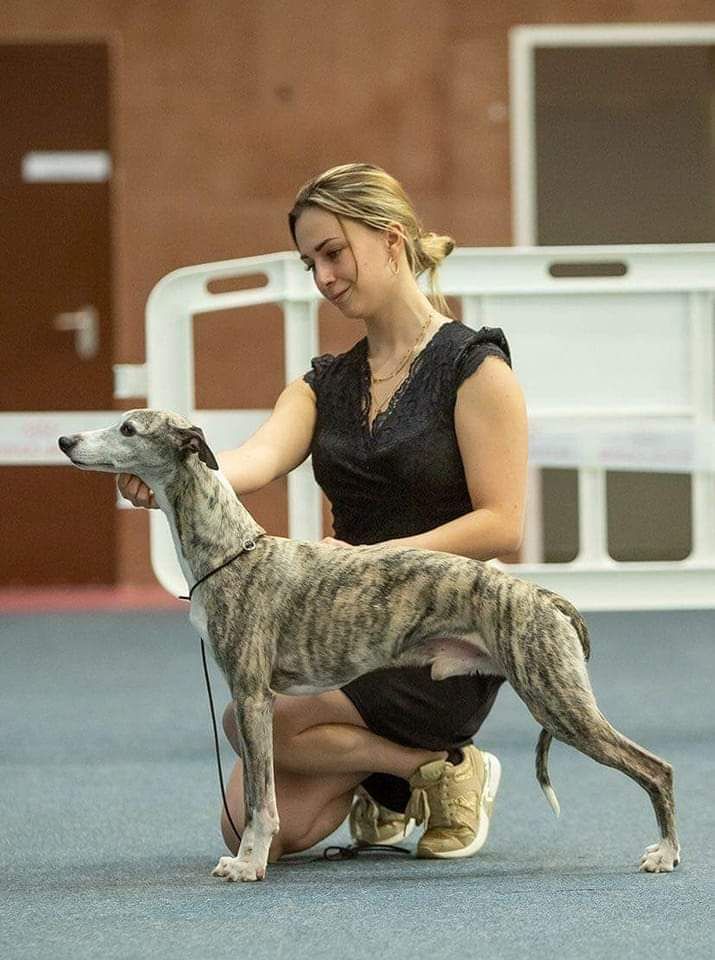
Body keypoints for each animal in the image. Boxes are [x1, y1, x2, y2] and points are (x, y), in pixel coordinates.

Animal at [58, 408, 680, 880]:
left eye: (128, 429)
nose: (65, 440)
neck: (233, 551)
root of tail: (543, 596)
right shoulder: (257, 697)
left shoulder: (253, 697)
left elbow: (261, 801)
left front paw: (248, 863)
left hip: (560, 702)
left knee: (657, 769)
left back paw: (665, 854)